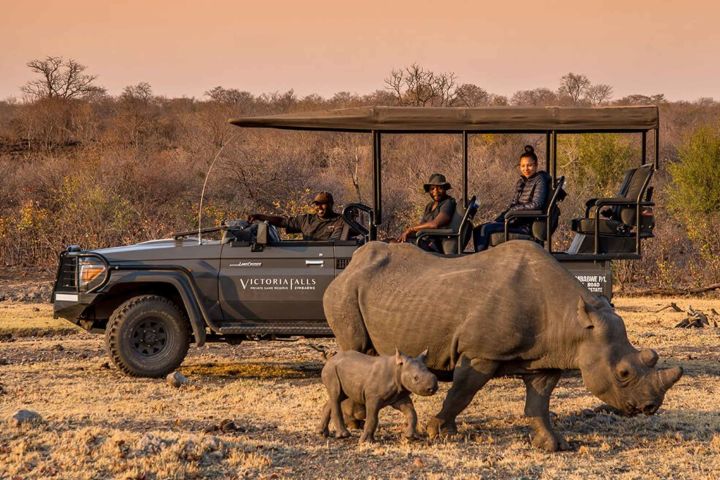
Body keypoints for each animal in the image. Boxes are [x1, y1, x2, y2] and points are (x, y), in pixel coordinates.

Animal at [324, 242, 684, 452]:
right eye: (623, 373)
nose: (650, 407)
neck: (573, 320)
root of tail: (350, 265)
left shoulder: (546, 358)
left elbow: (539, 402)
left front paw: (553, 445)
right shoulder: (481, 353)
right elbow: (463, 393)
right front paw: (438, 431)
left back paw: (356, 420)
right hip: (344, 293)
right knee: (354, 345)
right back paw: (355, 423)